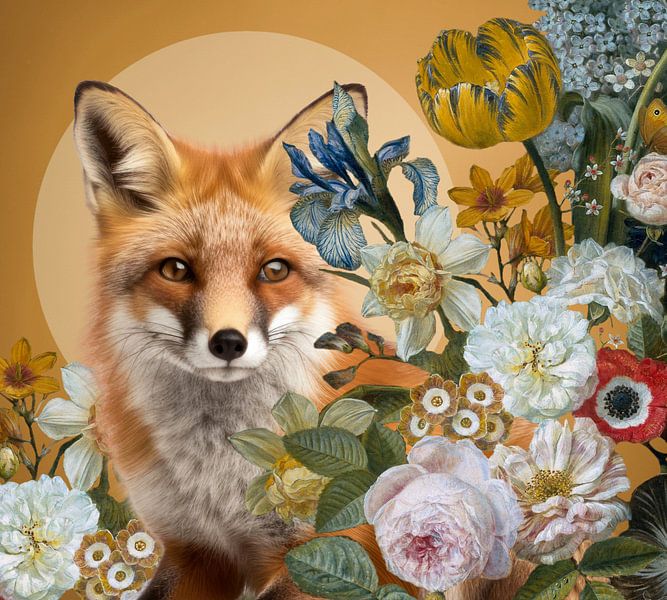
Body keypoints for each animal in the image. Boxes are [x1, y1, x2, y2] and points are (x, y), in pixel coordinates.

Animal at [72, 80, 533, 600]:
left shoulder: (342, 548)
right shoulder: (195, 550)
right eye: (175, 269)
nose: (227, 343)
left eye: (274, 270)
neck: (218, 479)